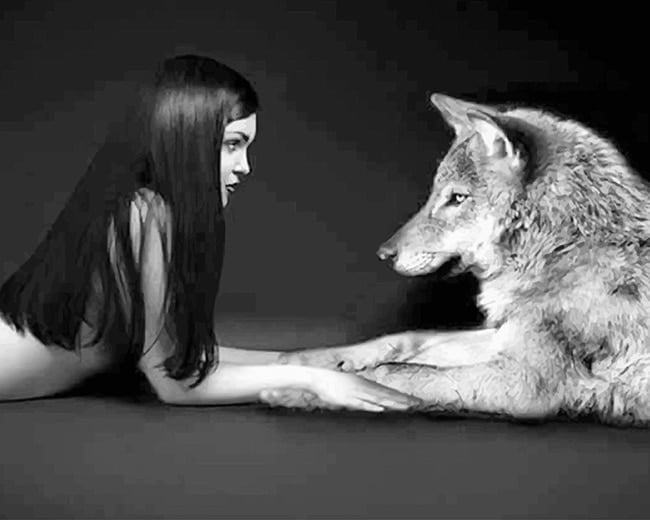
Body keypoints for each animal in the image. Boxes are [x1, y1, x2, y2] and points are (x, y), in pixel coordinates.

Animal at [267, 92, 650, 427]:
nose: (384, 254)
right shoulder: (503, 335)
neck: (564, 248)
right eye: (435, 194)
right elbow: (406, 339)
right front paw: (303, 363)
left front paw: (306, 389)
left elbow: (391, 372)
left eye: (457, 199)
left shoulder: (523, 383)